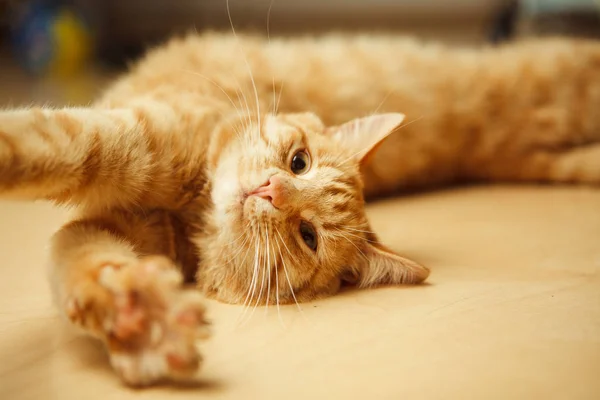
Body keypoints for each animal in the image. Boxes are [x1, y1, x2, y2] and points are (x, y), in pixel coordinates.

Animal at [1, 32, 600, 386]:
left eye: (307, 235)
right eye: (299, 161)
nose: (270, 191)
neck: (190, 209)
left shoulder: (109, 211)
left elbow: (83, 250)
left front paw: (142, 322)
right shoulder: (119, 168)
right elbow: (64, 168)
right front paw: (137, 317)